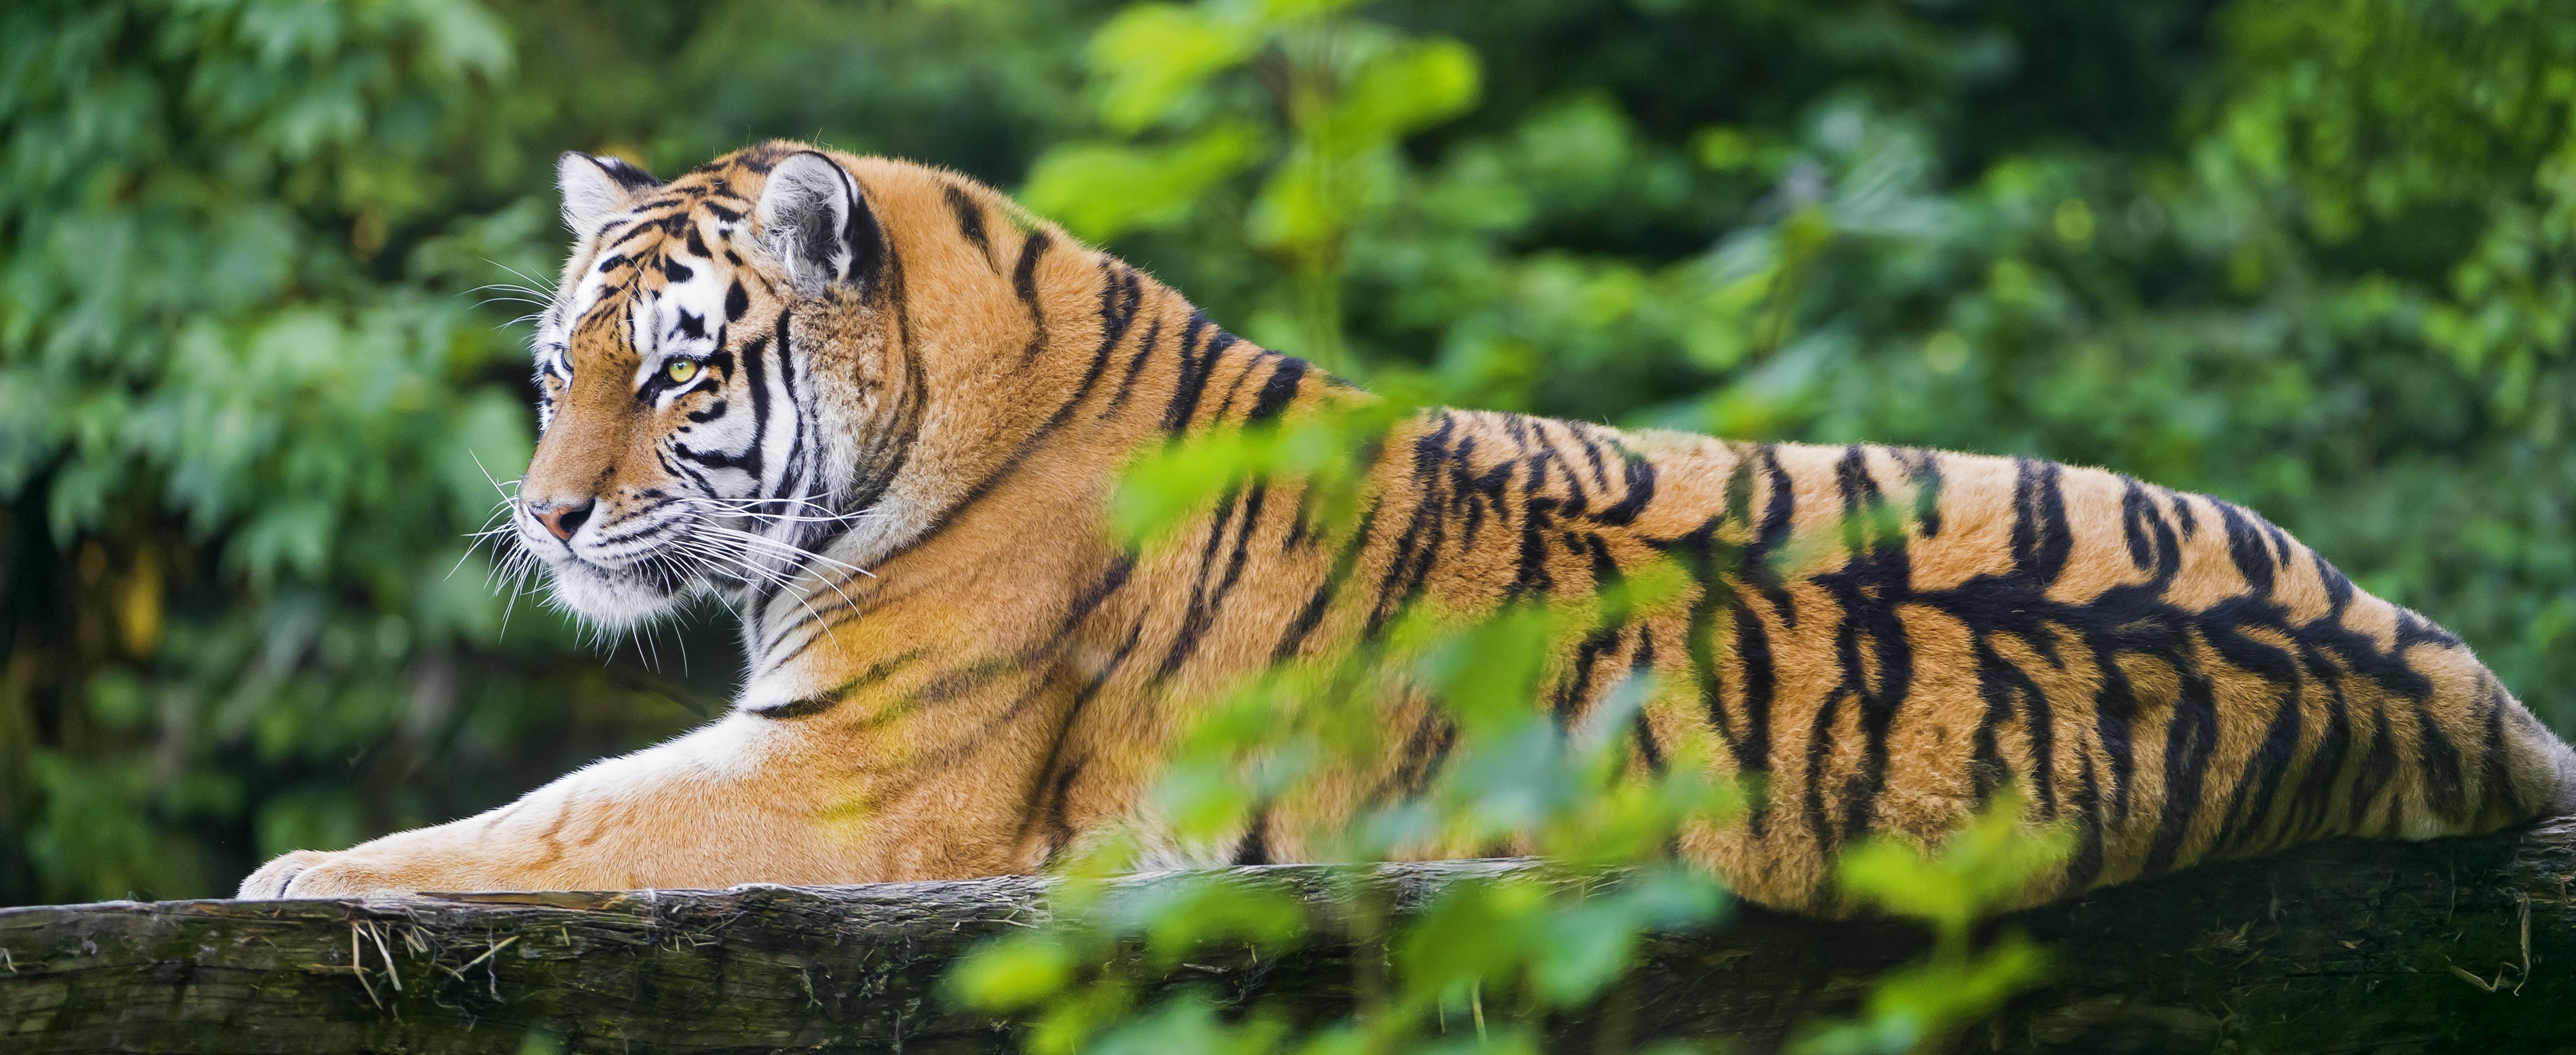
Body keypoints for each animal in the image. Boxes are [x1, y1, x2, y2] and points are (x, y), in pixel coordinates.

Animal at [238, 141, 2576, 917]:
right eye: (557, 365)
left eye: (673, 377)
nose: (543, 521)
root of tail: (2473, 711)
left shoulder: (854, 781)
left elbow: (557, 819)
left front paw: (297, 876)